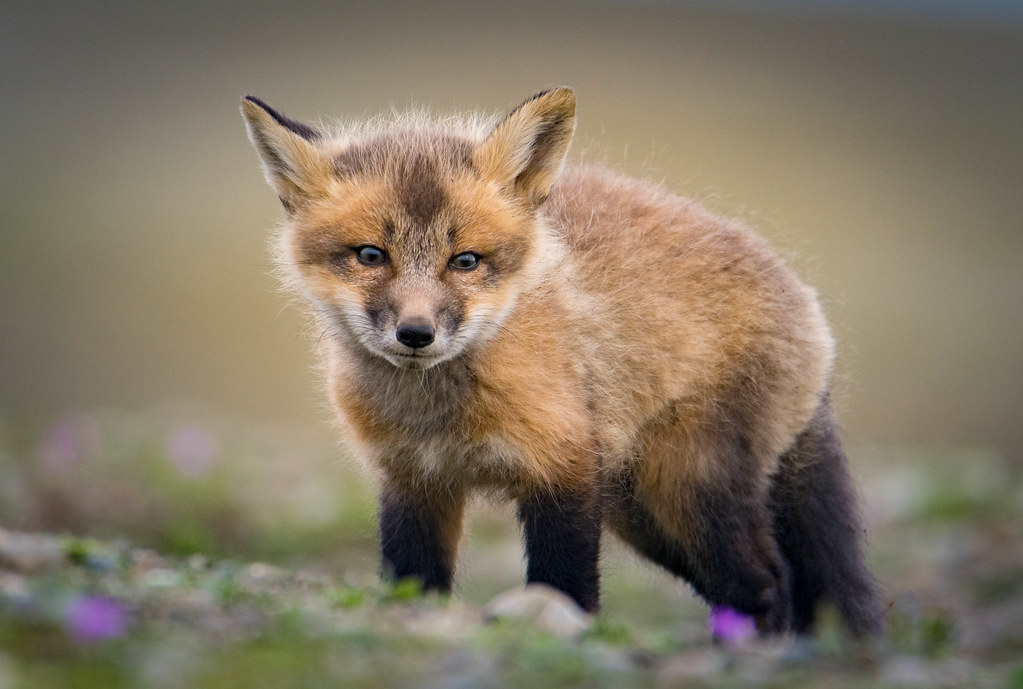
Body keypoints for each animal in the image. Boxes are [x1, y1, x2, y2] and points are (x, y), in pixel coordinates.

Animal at [243, 88, 883, 637]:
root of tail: (803, 300)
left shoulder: (564, 467)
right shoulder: (411, 480)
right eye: (371, 255)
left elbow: (565, 583)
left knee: (766, 583)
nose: (417, 334)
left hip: (687, 488)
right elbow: (414, 578)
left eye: (465, 260)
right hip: (646, 518)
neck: (440, 415)